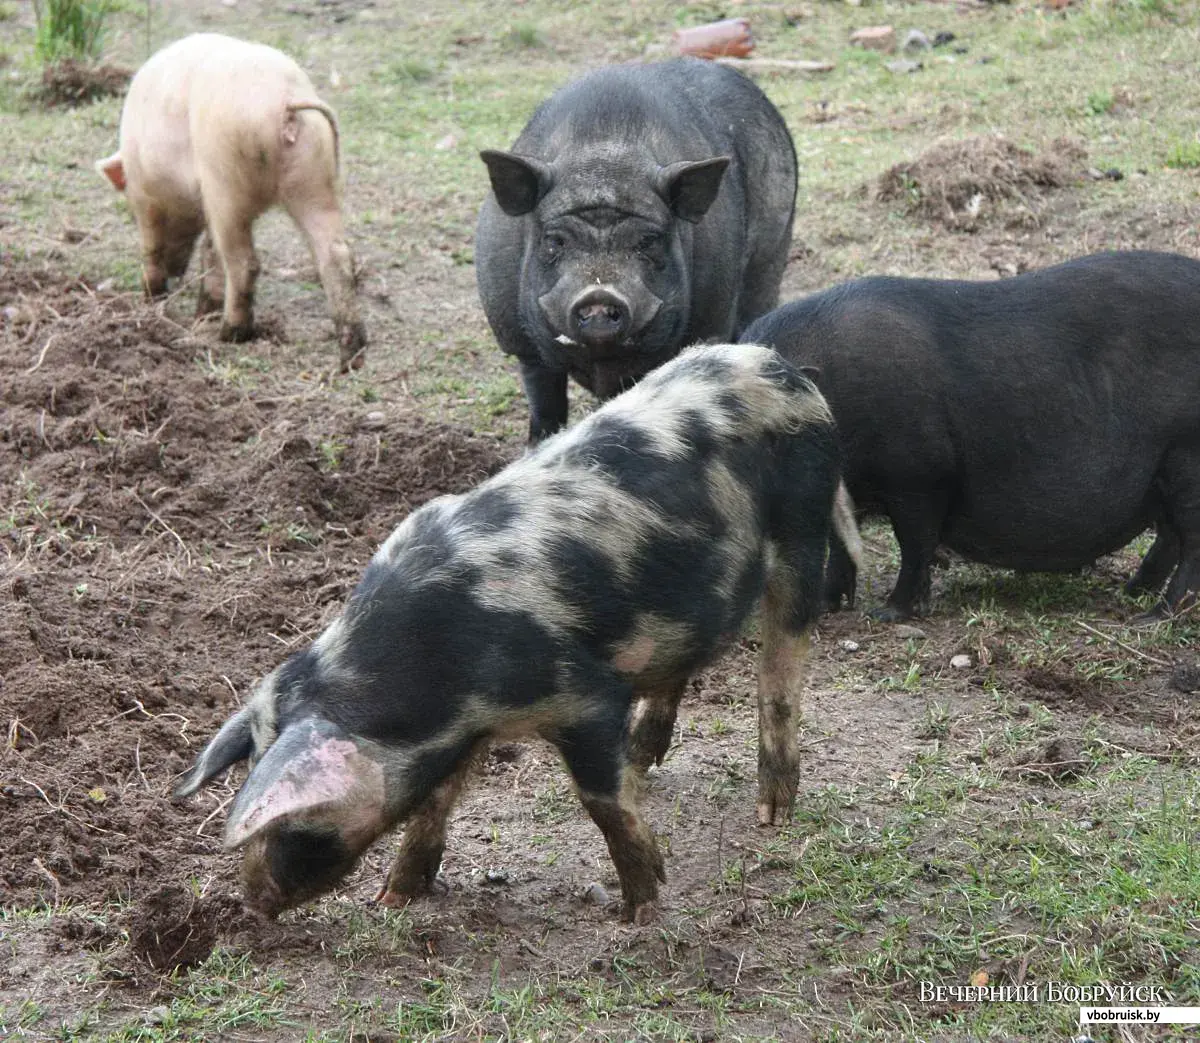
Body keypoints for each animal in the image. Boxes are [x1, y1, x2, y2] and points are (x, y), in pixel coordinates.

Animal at [98, 33, 364, 369]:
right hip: (315, 176)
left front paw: (151, 299)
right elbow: (210, 251)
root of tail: (286, 100)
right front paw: (200, 313)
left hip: (226, 181)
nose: (176, 271)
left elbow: (152, 245)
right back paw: (351, 355)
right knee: (336, 254)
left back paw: (229, 333)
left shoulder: (146, 195)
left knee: (244, 262)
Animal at [475, 57, 796, 439]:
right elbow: (546, 406)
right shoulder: (522, 346)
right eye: (555, 240)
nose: (599, 296)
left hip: (770, 257)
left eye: (647, 240)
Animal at [744, 250, 1200, 619]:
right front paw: (827, 606)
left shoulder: (922, 475)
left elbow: (915, 544)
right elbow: (841, 546)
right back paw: (1132, 594)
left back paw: (1152, 617)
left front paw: (888, 614)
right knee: (1169, 537)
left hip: (1185, 454)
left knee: (1189, 541)